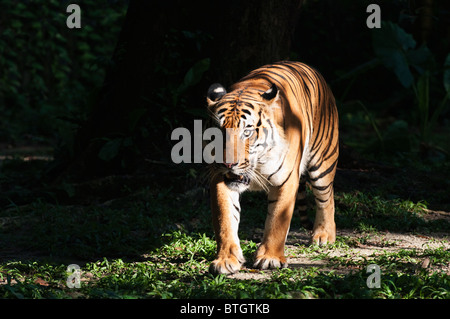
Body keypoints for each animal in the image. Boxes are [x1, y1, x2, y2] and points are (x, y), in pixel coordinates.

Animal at [204, 61, 338, 276]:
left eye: (247, 131)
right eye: (218, 131)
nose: (228, 164)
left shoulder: (286, 180)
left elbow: (277, 221)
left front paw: (270, 258)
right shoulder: (219, 179)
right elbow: (224, 220)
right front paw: (226, 260)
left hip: (322, 164)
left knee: (327, 197)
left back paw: (324, 235)